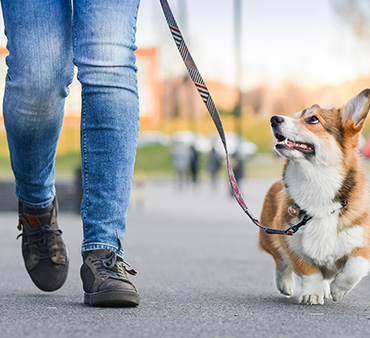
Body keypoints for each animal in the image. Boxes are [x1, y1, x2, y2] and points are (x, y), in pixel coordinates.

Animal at [258, 88, 370, 304]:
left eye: (312, 119)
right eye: (294, 116)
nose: (274, 119)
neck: (317, 184)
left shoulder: (363, 243)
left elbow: (355, 267)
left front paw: (338, 289)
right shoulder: (292, 242)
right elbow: (309, 272)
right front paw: (312, 294)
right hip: (269, 235)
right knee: (280, 262)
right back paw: (285, 284)